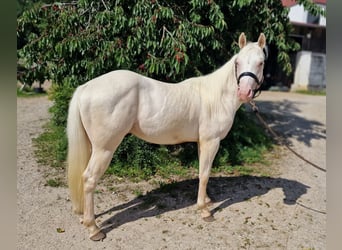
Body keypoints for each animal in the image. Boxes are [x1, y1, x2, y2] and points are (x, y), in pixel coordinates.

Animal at [67, 31, 268, 240]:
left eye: (261, 62)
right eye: (238, 62)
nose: (244, 92)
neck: (216, 96)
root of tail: (86, 87)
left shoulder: (202, 143)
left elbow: (203, 172)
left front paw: (206, 200)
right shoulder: (211, 142)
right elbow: (205, 174)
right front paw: (204, 211)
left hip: (93, 147)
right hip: (104, 149)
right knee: (89, 179)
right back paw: (93, 228)